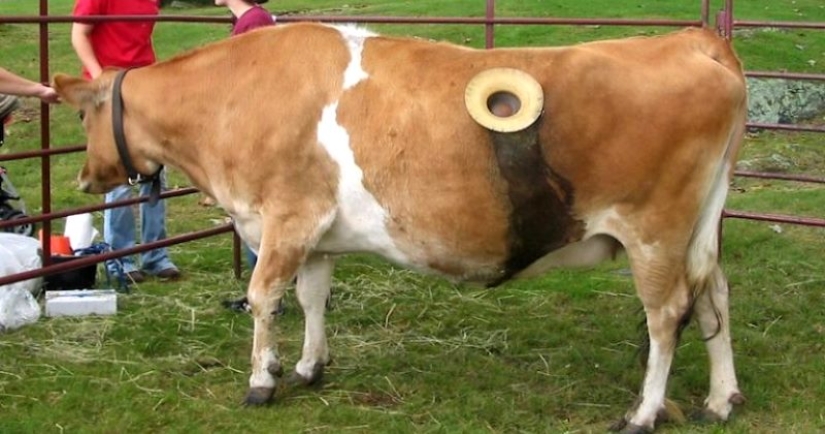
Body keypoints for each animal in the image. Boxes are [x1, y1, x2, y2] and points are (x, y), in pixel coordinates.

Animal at [53, 22, 747, 432]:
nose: (84, 178)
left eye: (84, 117)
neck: (235, 94)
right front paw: (306, 367)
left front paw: (260, 381)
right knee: (715, 297)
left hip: (654, 232)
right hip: (699, 232)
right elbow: (312, 298)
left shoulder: (285, 217)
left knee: (668, 315)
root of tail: (690, 39)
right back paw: (721, 399)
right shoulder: (314, 233)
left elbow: (263, 298)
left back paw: (645, 412)